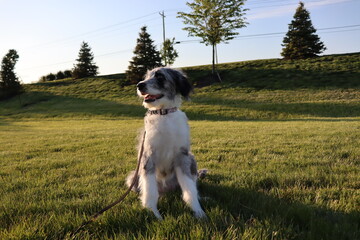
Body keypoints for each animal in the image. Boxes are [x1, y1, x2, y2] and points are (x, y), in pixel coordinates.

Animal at [126, 66, 205, 219]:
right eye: (146, 77)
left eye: (160, 77)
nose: (139, 85)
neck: (164, 114)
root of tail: (166, 189)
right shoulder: (148, 156)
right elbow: (150, 190)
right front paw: (153, 213)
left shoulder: (182, 155)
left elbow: (189, 188)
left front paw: (198, 211)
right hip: (133, 177)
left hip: (191, 159)